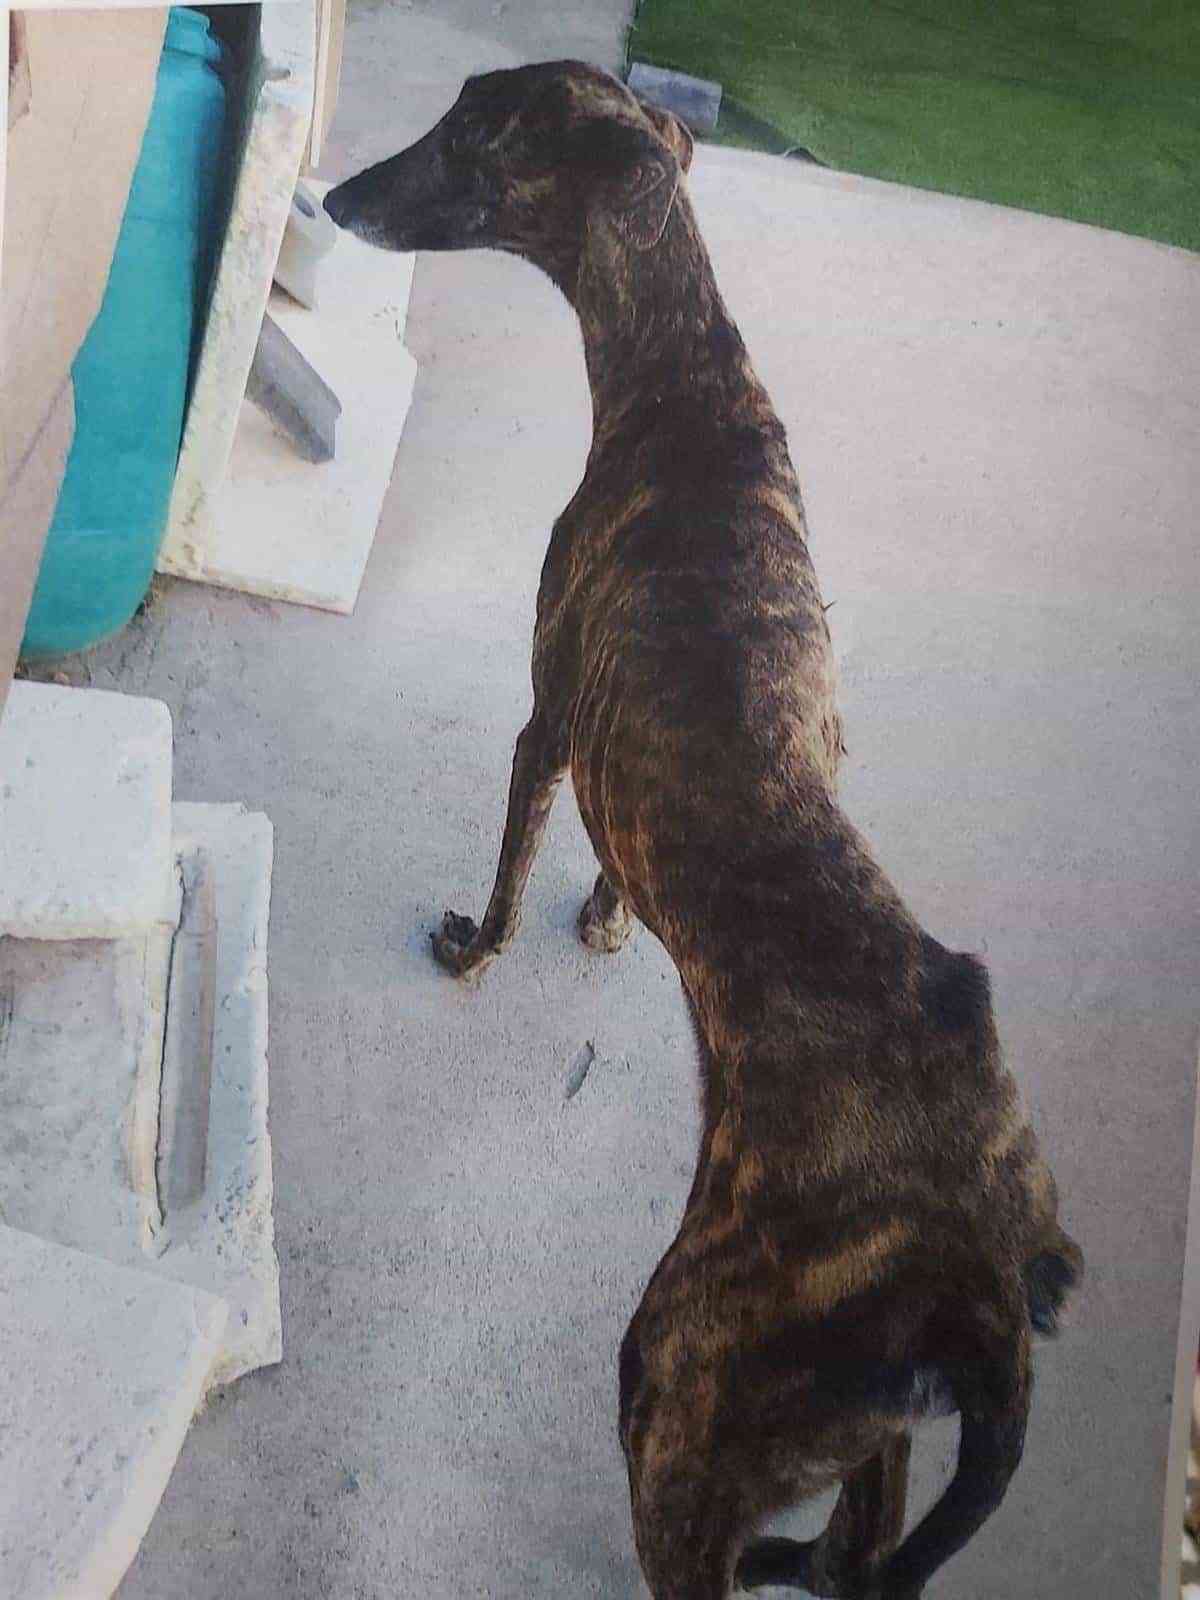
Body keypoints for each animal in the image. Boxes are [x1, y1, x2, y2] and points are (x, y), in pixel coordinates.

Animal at [324, 61, 1082, 1600]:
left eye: (475, 133)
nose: (331, 198)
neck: (691, 395)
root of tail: (986, 1282)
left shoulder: (548, 718)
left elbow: (511, 868)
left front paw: (475, 947)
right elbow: (615, 874)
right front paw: (612, 918)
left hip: (684, 1382)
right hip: (864, 1435)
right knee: (855, 1549)